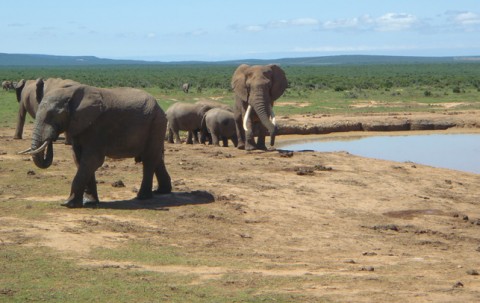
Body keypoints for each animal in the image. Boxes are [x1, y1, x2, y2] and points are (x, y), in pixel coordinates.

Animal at [19, 85, 172, 209]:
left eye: (52, 115)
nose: (51, 138)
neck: (70, 93)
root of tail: (159, 106)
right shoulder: (79, 126)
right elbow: (79, 159)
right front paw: (89, 203)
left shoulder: (96, 127)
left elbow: (92, 160)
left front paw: (68, 204)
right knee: (156, 158)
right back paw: (162, 191)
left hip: (156, 123)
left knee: (149, 159)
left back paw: (142, 197)